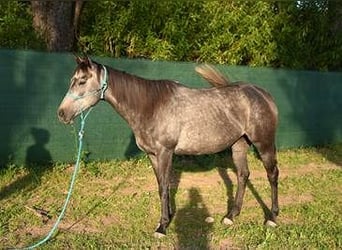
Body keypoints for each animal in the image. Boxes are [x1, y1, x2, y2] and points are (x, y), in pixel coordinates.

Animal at [57, 57, 280, 238]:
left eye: (82, 81)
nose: (61, 114)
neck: (151, 106)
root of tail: (262, 93)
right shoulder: (153, 155)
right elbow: (160, 186)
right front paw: (168, 217)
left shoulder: (165, 152)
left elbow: (165, 187)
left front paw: (162, 227)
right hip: (239, 145)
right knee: (243, 175)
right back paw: (231, 216)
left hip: (264, 144)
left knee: (272, 175)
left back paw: (272, 217)